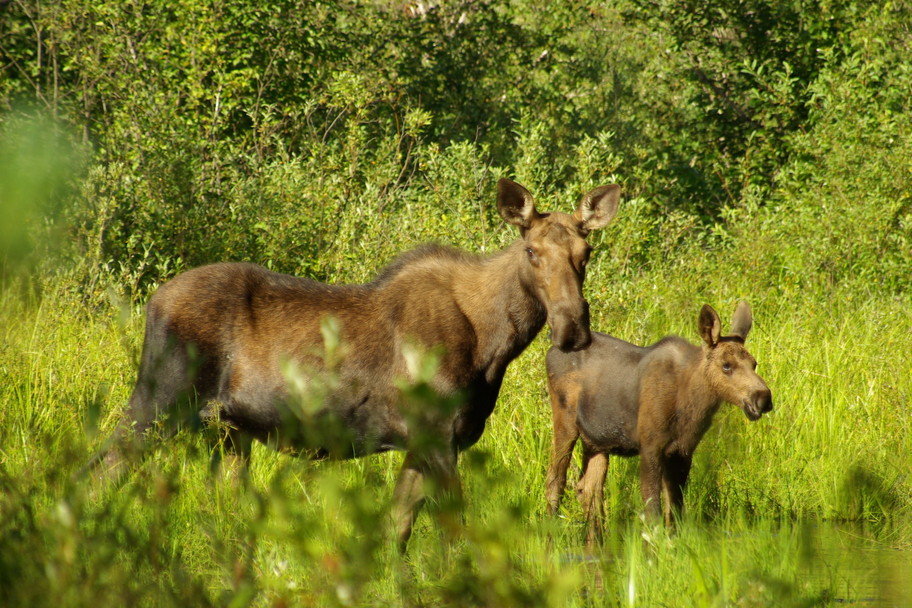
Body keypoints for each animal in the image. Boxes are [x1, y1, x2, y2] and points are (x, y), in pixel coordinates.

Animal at [105, 177, 620, 552]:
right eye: (531, 252)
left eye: (586, 254)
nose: (572, 327)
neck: (494, 343)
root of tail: (152, 302)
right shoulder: (437, 435)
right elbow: (454, 534)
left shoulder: (423, 441)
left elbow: (398, 530)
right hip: (158, 401)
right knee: (102, 469)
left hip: (228, 431)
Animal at [544, 302, 772, 544]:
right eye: (726, 366)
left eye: (754, 363)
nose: (763, 398)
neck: (692, 406)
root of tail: (551, 350)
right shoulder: (651, 446)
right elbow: (653, 510)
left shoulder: (682, 451)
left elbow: (675, 510)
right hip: (565, 423)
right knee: (555, 481)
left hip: (596, 441)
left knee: (587, 488)